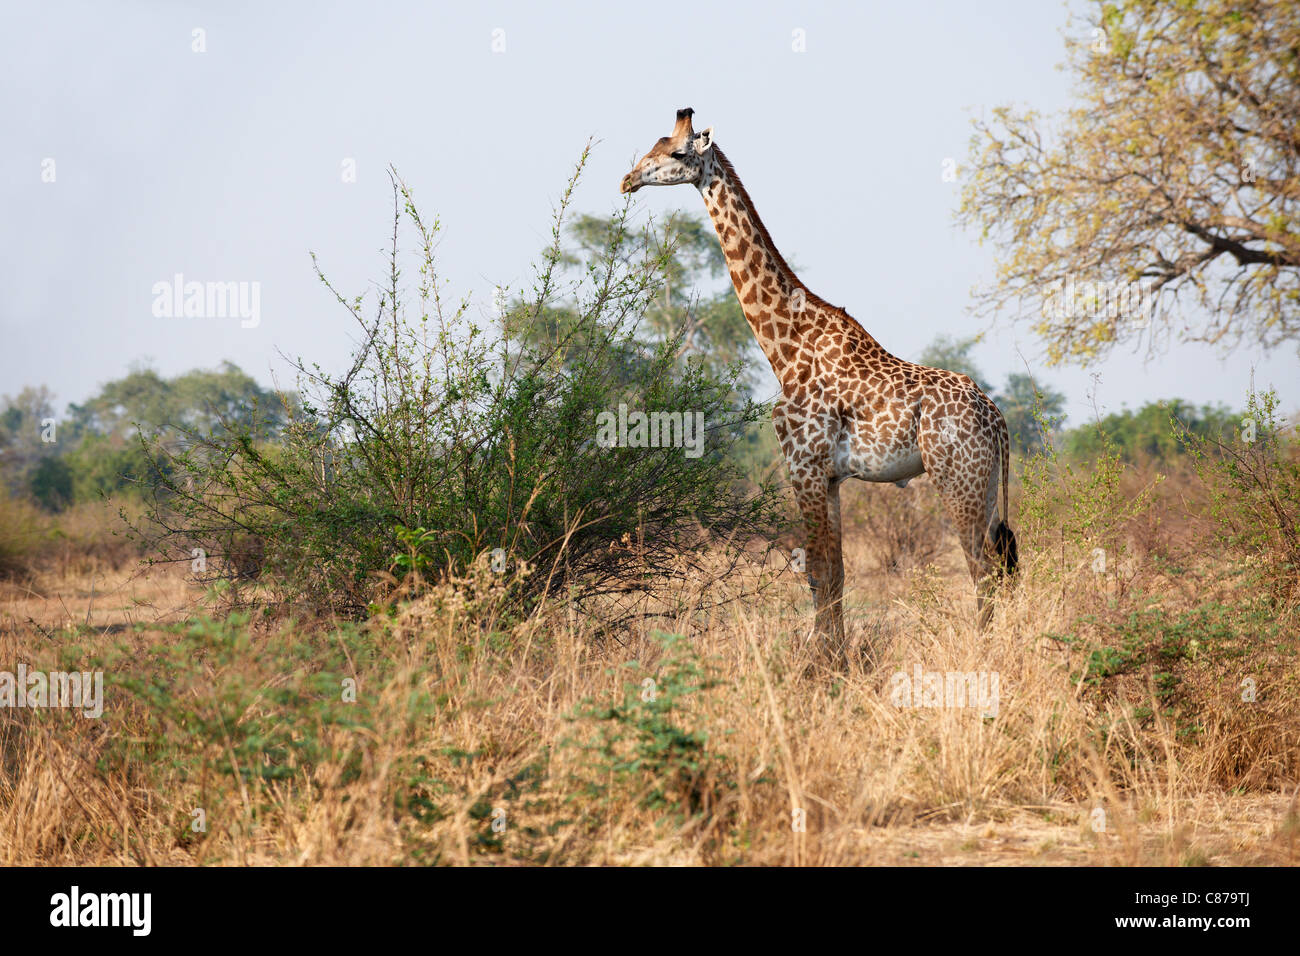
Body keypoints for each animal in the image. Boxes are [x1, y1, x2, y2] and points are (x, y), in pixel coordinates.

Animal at [618, 106, 1013, 658]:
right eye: (651, 146)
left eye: (676, 152)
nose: (627, 180)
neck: (783, 348)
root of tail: (997, 420)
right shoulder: (829, 477)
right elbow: (837, 574)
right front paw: (836, 657)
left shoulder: (801, 465)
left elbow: (818, 573)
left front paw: (824, 663)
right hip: (988, 482)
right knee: (1001, 565)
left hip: (958, 477)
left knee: (983, 568)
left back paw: (984, 654)